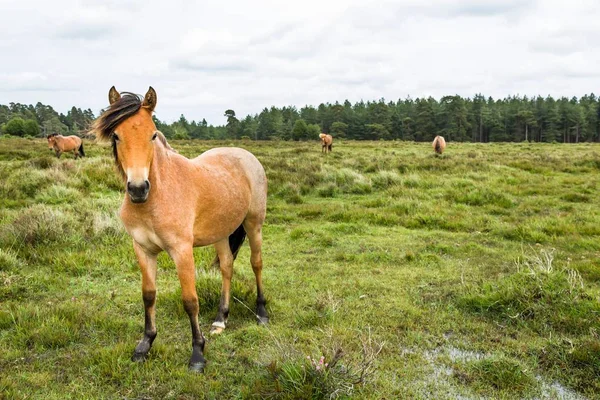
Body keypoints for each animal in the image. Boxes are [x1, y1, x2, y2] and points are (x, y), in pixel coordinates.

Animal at [92, 86, 270, 374]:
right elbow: (148, 295)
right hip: (221, 233)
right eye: (116, 135)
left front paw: (197, 354)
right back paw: (221, 319)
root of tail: (246, 155)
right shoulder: (143, 250)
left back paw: (262, 313)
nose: (138, 188)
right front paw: (145, 345)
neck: (157, 197)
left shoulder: (182, 251)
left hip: (254, 224)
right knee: (227, 267)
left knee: (257, 263)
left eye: (153, 134)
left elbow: (190, 300)